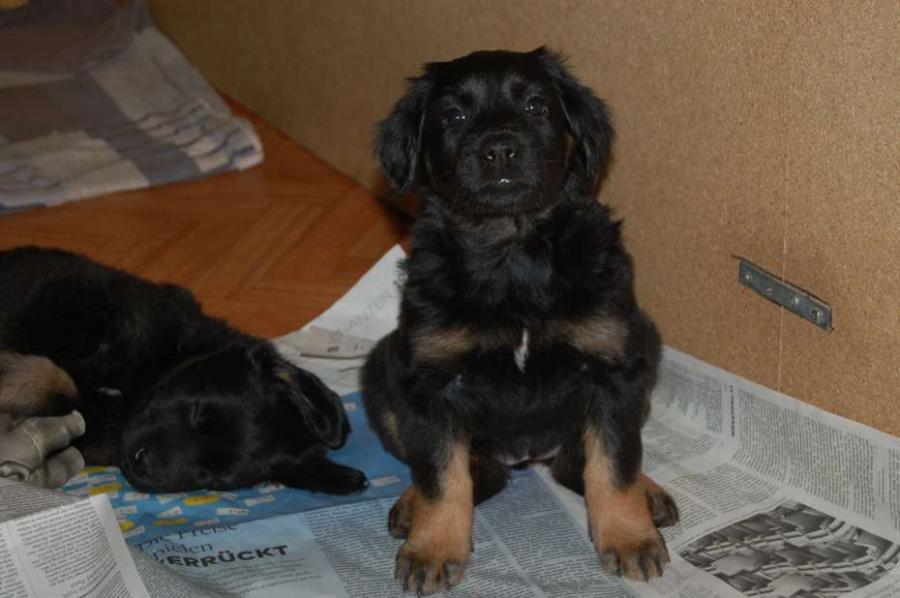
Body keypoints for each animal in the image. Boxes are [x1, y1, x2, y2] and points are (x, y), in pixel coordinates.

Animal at [362, 47, 679, 594]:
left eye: (535, 106)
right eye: (453, 116)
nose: (500, 151)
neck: (514, 249)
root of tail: (528, 456)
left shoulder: (611, 366)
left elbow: (614, 462)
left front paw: (629, 537)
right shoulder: (432, 379)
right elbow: (441, 475)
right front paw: (432, 548)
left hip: (645, 343)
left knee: (582, 459)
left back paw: (648, 493)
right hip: (382, 371)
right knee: (462, 467)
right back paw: (411, 506)